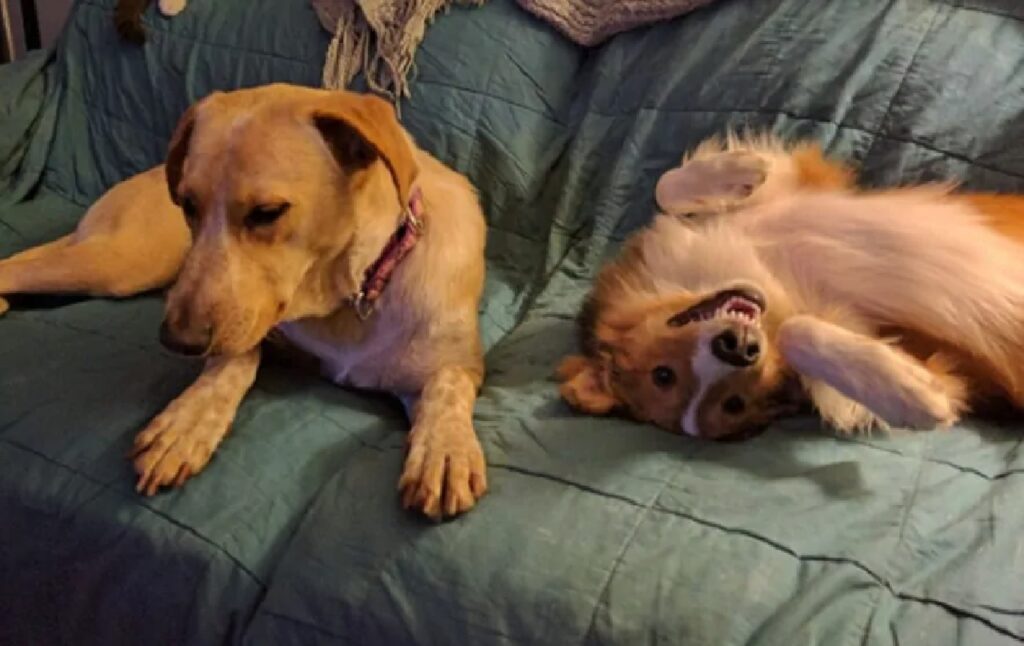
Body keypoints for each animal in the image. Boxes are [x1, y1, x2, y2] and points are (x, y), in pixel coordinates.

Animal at [0, 84, 487, 520]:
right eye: (187, 204)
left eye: (267, 213)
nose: (177, 341)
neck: (349, 297)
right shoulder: (256, 329)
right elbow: (235, 358)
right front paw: (189, 421)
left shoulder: (454, 364)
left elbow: (446, 387)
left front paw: (445, 449)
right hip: (122, 262)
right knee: (15, 263)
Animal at [557, 136, 1024, 440]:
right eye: (734, 404)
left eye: (662, 373)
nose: (739, 349)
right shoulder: (932, 366)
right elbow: (796, 331)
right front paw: (913, 393)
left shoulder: (808, 182)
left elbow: (666, 185)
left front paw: (742, 169)